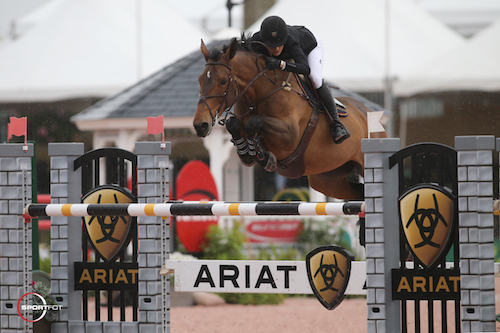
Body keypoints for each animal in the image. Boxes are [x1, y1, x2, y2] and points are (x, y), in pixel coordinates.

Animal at [192, 38, 386, 200]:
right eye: (200, 79)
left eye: (223, 81)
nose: (200, 125)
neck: (258, 94)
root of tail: (368, 113)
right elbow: (235, 124)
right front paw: (249, 153)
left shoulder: (289, 136)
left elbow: (255, 122)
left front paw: (262, 155)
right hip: (327, 178)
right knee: (359, 194)